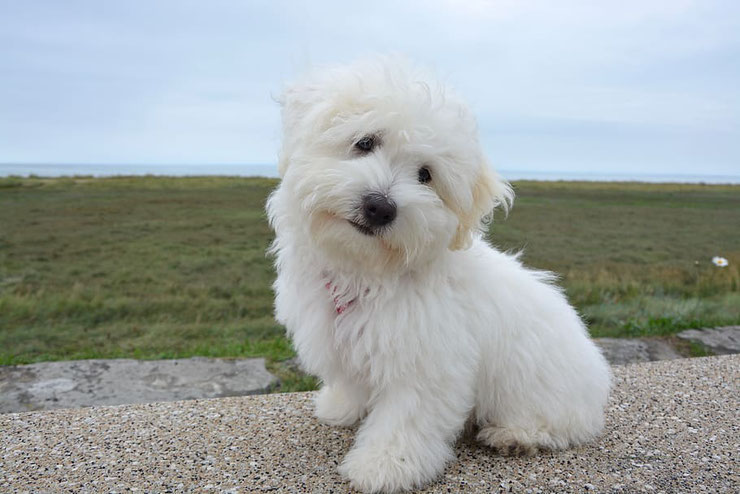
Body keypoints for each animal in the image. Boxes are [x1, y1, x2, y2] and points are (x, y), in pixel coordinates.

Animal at [268, 57, 608, 490]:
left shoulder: (426, 362)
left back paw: (515, 435)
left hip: (545, 393)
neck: (367, 271)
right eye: (365, 142)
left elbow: (404, 418)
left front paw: (383, 466)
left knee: (560, 424)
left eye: (425, 175)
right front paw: (340, 406)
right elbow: (352, 381)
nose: (380, 206)